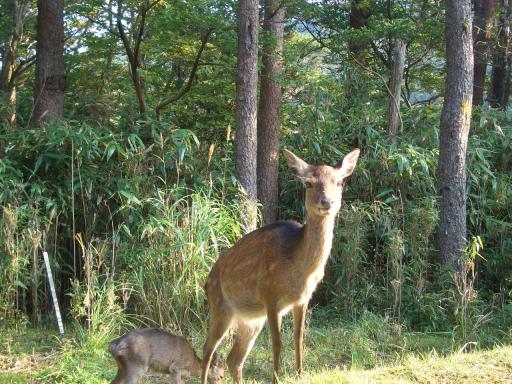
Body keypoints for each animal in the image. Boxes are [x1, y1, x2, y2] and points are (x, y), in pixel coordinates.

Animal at [200, 148, 360, 384]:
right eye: (308, 183)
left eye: (339, 182)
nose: (327, 201)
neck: (299, 269)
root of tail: (207, 281)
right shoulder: (270, 294)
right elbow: (277, 344)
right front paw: (276, 378)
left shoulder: (303, 299)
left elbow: (298, 337)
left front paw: (300, 374)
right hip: (220, 306)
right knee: (208, 349)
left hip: (250, 319)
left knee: (233, 359)